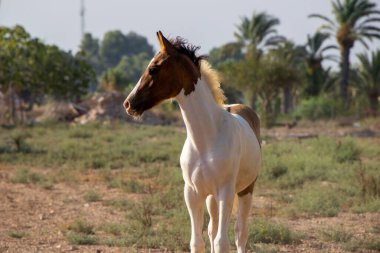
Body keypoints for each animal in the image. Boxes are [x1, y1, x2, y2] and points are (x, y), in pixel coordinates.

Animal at [124, 31, 262, 253]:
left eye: (153, 69)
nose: (128, 103)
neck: (206, 140)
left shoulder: (225, 192)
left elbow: (222, 242)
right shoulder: (192, 193)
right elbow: (198, 242)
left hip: (245, 190)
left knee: (240, 234)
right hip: (211, 198)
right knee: (212, 229)